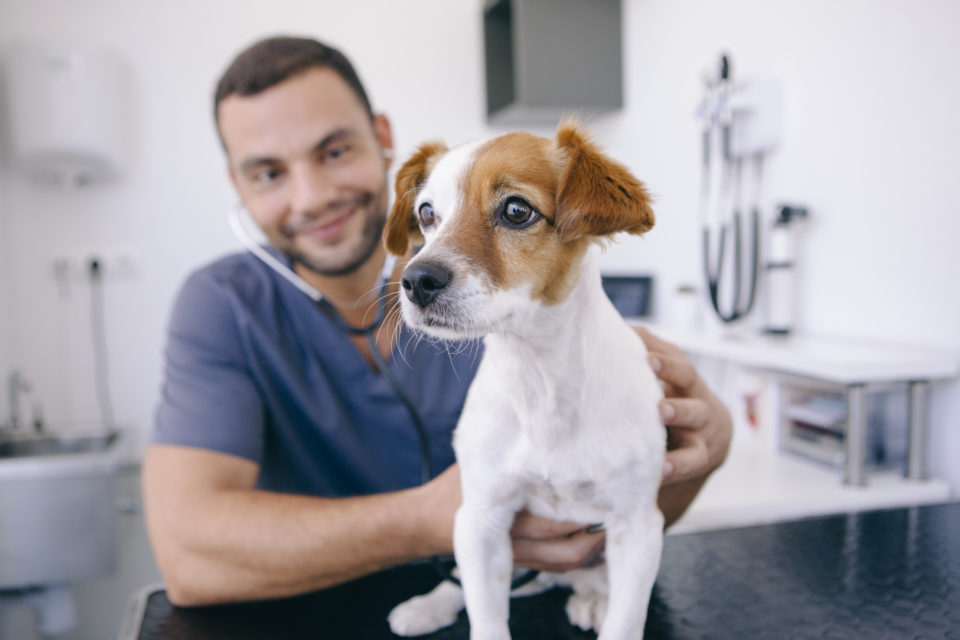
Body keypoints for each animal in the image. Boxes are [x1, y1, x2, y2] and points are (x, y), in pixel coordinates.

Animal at [382, 122, 668, 636]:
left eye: (517, 210)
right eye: (426, 213)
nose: (414, 282)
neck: (539, 378)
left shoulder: (637, 527)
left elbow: (624, 623)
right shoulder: (482, 519)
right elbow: (486, 619)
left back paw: (591, 596)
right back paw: (429, 605)